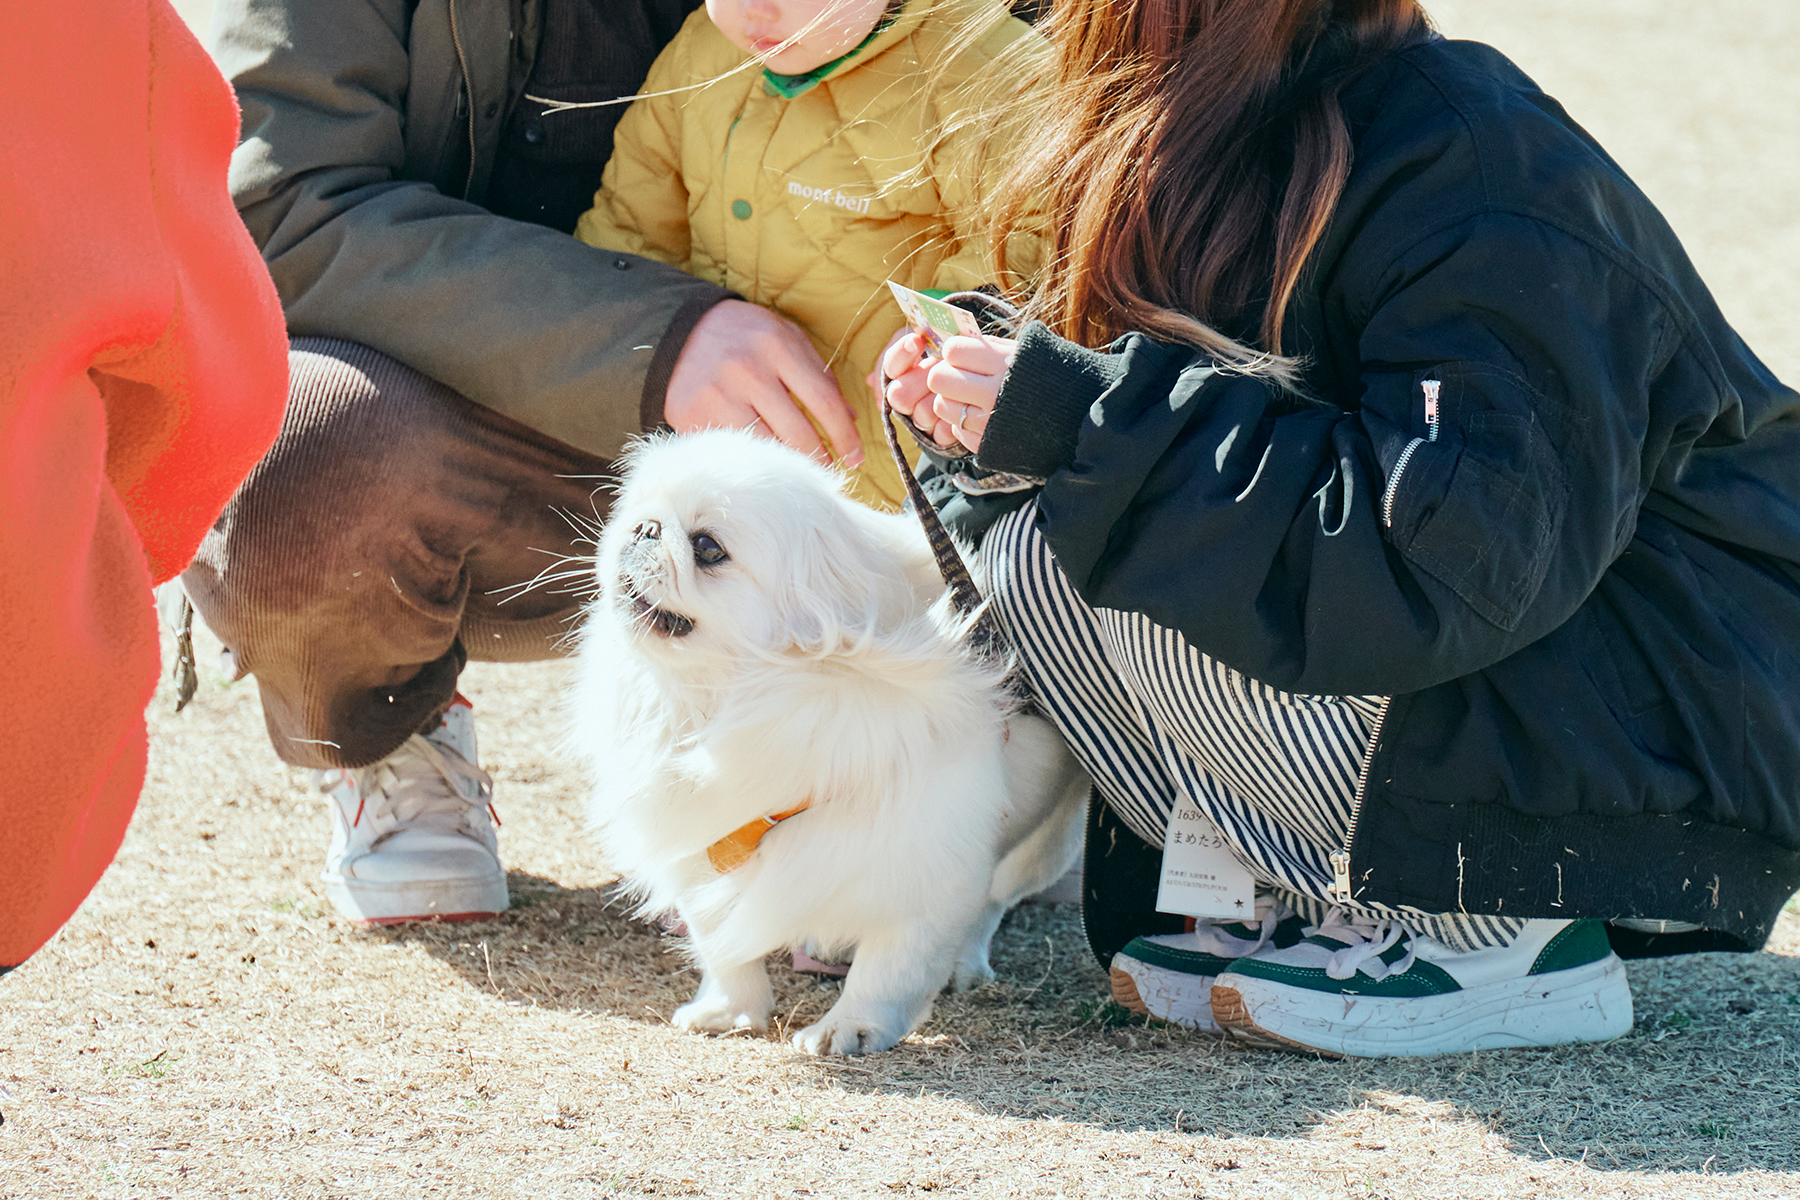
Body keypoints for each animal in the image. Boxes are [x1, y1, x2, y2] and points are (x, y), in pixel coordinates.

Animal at [568, 426, 1087, 1057]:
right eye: (639, 512)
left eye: (708, 547)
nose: (642, 529)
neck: (732, 707)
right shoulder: (702, 858)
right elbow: (723, 950)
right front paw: (729, 1012)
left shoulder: (928, 878)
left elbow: (890, 970)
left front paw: (850, 1030)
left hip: (1043, 848)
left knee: (992, 904)